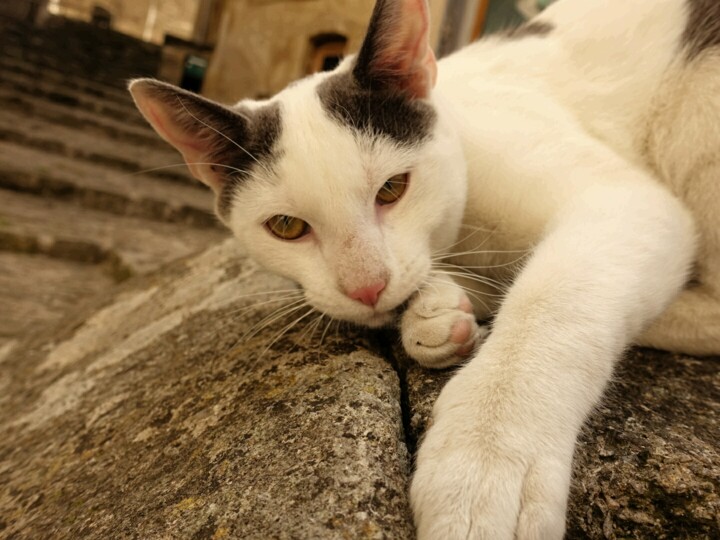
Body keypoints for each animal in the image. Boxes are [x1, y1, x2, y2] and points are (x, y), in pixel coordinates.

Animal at [129, 0, 720, 536]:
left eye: (393, 188)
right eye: (287, 227)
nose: (366, 286)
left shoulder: (624, 201)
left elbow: (555, 300)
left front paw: (484, 460)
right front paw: (435, 312)